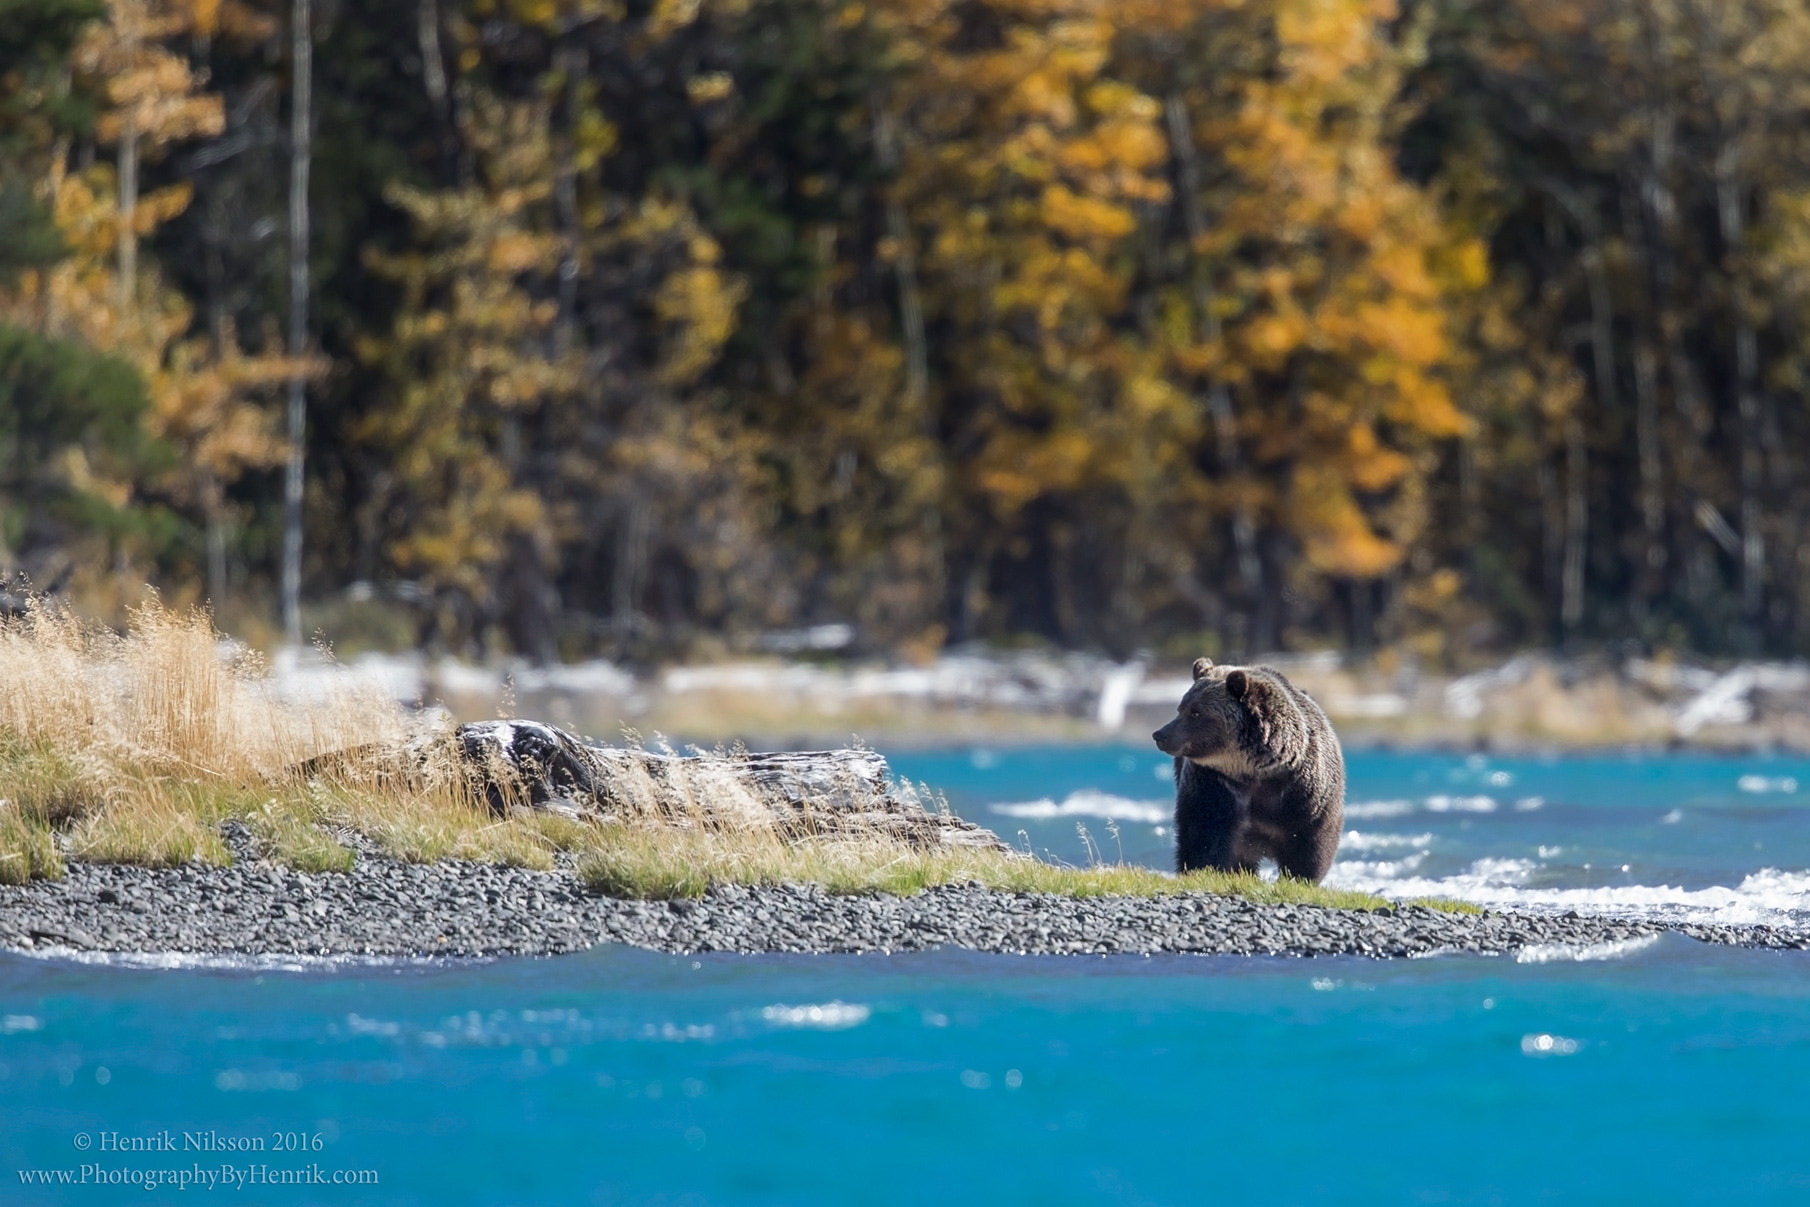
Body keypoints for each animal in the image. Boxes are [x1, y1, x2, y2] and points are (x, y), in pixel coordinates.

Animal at [1143, 662, 1346, 879]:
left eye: (1195, 712)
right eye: (1180, 708)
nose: (1160, 735)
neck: (1256, 772)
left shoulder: (1302, 793)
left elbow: (1308, 840)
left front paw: (1299, 876)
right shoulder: (1214, 783)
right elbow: (1205, 831)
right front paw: (1204, 869)